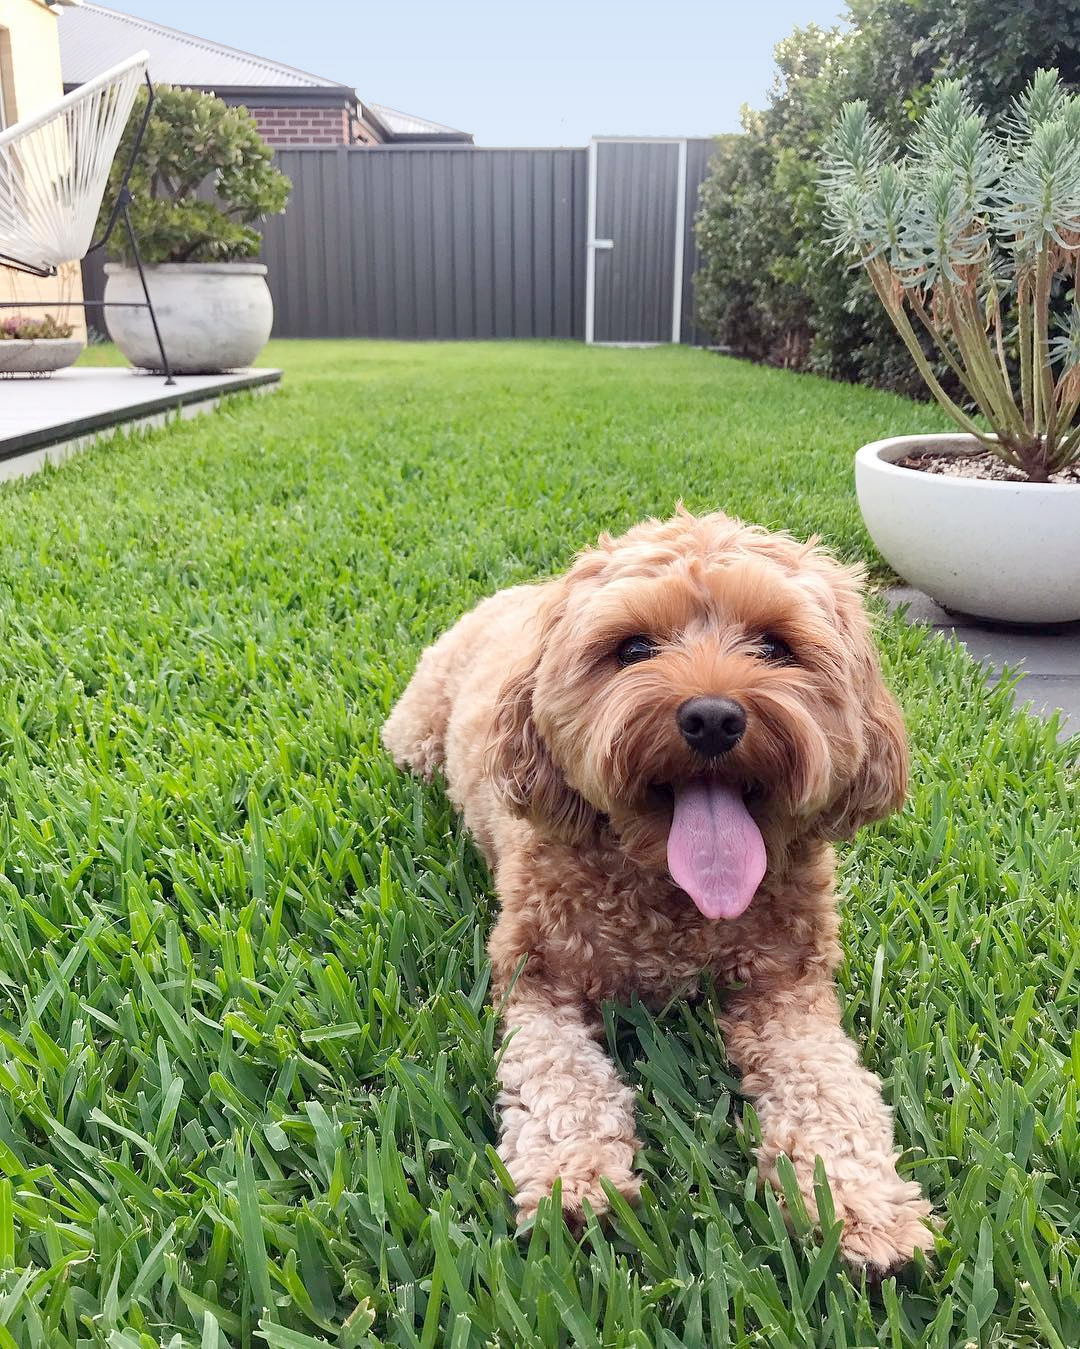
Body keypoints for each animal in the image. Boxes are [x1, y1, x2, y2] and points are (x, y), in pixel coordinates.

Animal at [382, 507, 933, 1273]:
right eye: (634, 647)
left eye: (774, 645)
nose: (712, 717)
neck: (673, 901)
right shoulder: (536, 979)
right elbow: (561, 1080)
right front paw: (574, 1180)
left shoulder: (789, 987)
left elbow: (831, 1086)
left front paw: (858, 1201)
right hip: (415, 735)